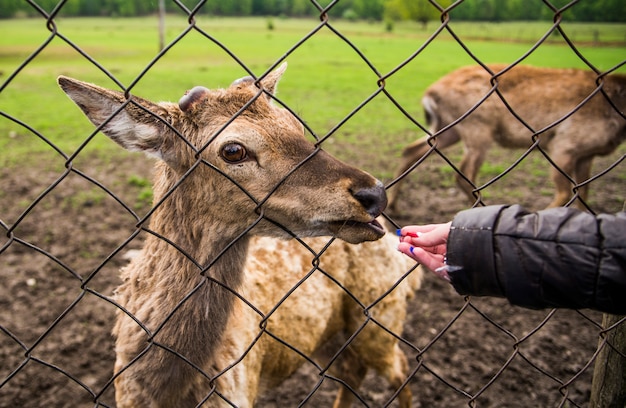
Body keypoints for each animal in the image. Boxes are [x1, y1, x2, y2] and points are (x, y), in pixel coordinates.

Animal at [58, 64, 422, 408]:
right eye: (233, 150)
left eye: (296, 124)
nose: (374, 193)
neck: (167, 391)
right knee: (352, 370)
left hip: (380, 316)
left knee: (401, 369)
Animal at [388, 63, 620, 214]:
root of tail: (429, 94)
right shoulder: (565, 144)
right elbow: (566, 190)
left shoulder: (586, 154)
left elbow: (583, 190)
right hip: (477, 128)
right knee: (464, 173)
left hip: (447, 129)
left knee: (412, 150)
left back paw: (394, 205)